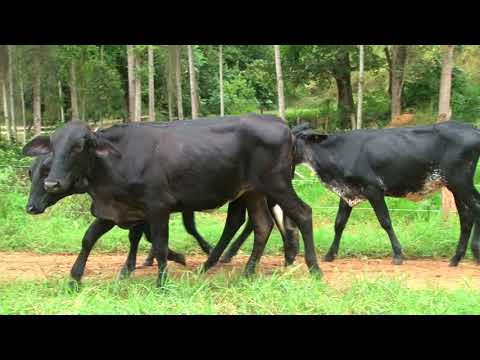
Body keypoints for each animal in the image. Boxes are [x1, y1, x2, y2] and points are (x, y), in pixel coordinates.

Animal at [25, 154, 212, 276]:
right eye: (31, 173)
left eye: (46, 173)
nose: (30, 207)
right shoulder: (110, 216)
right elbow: (89, 238)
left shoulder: (142, 215)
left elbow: (139, 237)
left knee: (190, 227)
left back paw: (208, 249)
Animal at [290, 119, 480, 266]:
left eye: (292, 137)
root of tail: (473, 129)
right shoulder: (347, 193)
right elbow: (339, 223)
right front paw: (330, 255)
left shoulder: (373, 189)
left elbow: (385, 221)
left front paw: (398, 255)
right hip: (458, 187)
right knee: (466, 216)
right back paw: (456, 258)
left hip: (460, 182)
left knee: (475, 210)